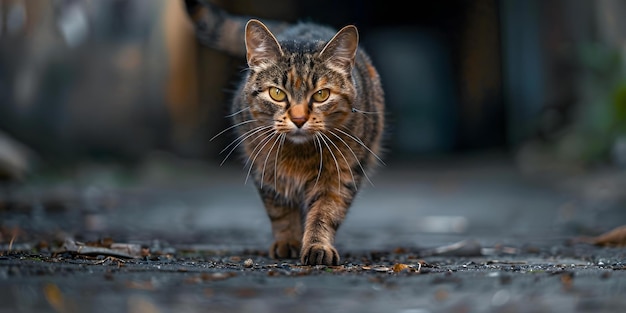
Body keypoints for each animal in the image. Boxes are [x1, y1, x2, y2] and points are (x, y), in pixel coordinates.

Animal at [183, 0, 382, 264]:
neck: (299, 155)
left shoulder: (340, 175)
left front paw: (317, 245)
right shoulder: (265, 171)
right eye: (277, 93)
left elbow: (325, 213)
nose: (298, 119)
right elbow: (280, 211)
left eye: (321, 95)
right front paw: (288, 242)